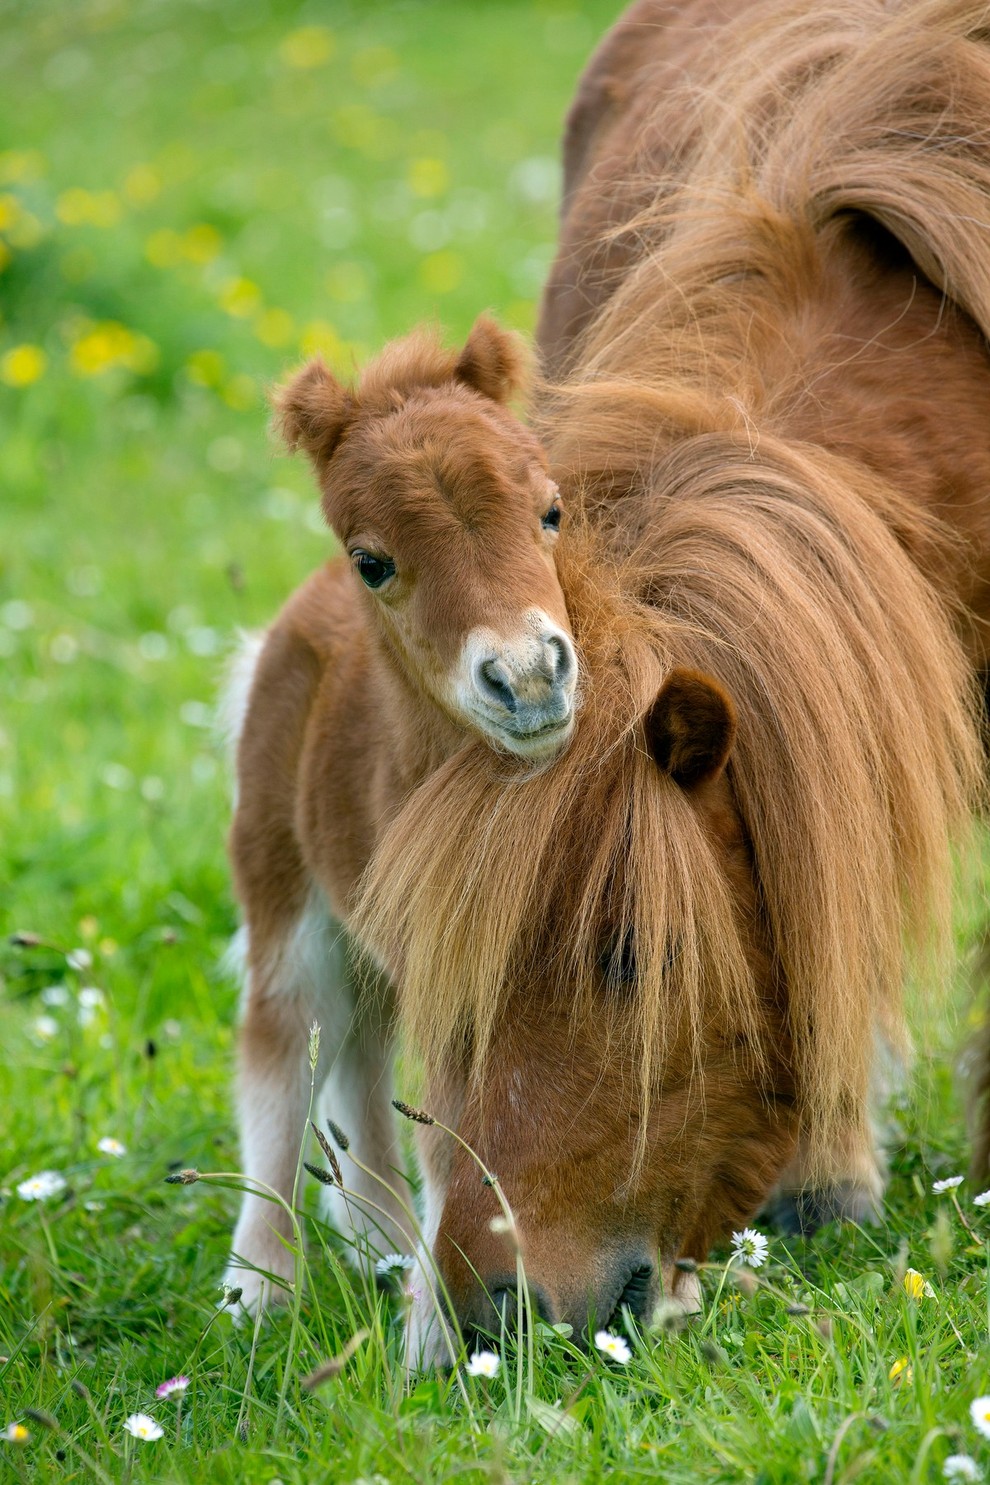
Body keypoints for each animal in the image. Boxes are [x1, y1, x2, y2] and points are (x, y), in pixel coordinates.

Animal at [222, 316, 581, 1312]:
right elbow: (456, 1132)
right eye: (373, 560)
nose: (528, 679)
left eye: (552, 510)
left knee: (359, 1050)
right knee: (285, 1040)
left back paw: (380, 1241)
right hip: (283, 881)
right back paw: (261, 1286)